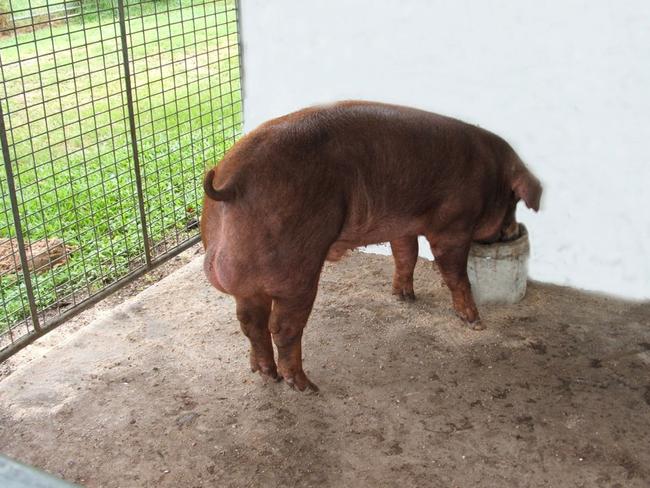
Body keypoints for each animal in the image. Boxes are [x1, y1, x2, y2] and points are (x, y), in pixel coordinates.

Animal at [200, 101, 540, 390]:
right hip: (296, 270)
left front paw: (405, 297)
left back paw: (265, 373)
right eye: (514, 201)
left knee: (250, 323)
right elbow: (455, 275)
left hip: (247, 281)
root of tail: (230, 183)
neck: (489, 175)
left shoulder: (402, 225)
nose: (513, 232)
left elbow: (406, 255)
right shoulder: (452, 227)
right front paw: (475, 322)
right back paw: (305, 386)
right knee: (282, 328)